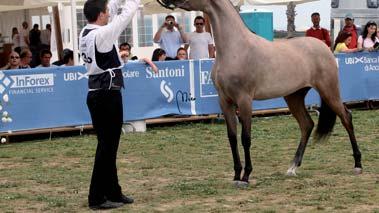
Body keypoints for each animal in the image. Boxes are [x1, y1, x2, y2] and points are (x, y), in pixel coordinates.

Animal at [157, 0, 362, 185]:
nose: (166, 2)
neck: (236, 48)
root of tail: (325, 48)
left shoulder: (245, 100)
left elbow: (245, 138)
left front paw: (246, 176)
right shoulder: (225, 101)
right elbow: (232, 138)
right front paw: (236, 174)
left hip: (329, 91)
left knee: (346, 117)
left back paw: (358, 164)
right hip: (294, 97)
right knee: (307, 125)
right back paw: (292, 167)